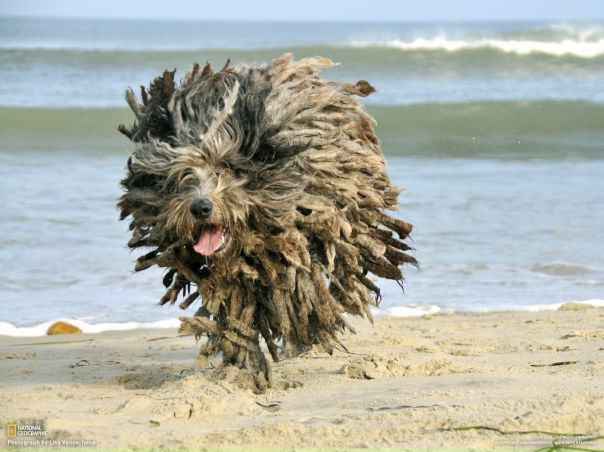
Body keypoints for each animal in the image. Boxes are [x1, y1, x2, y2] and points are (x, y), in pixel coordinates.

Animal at [118, 54, 416, 390]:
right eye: (183, 175)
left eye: (226, 167)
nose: (201, 207)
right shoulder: (234, 276)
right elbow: (239, 315)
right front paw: (242, 367)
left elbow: (304, 289)